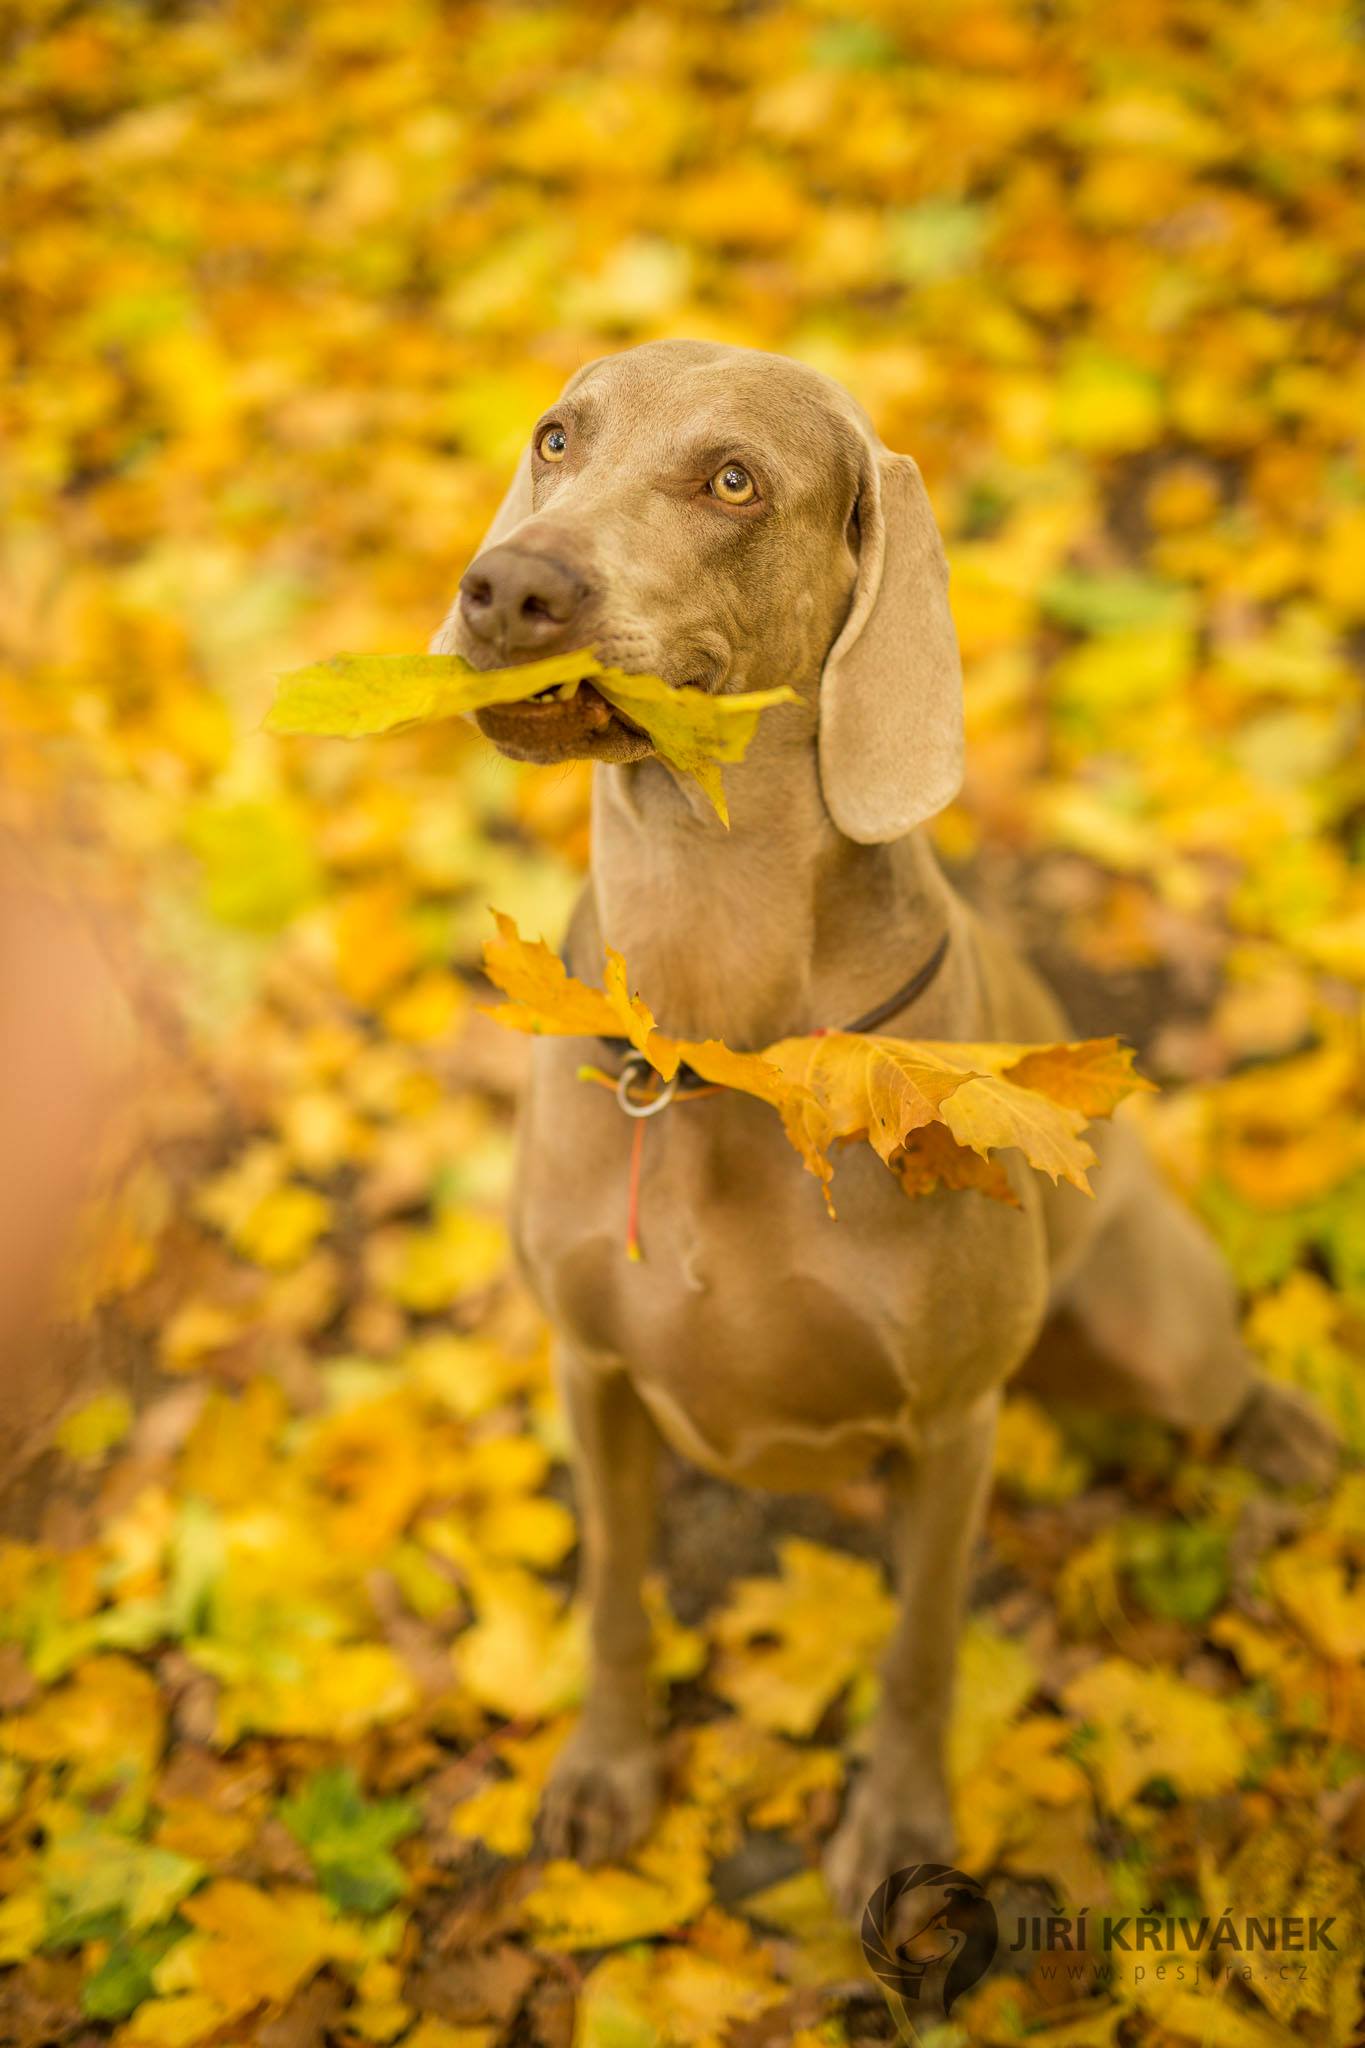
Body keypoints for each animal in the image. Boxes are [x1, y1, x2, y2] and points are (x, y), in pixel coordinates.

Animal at [435, 339, 1334, 1916]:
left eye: (734, 480)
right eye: (556, 438)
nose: (509, 587)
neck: (716, 1039)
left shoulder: (953, 1420)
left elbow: (920, 1648)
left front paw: (904, 1837)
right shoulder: (590, 1368)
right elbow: (613, 1595)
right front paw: (606, 1771)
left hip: (1149, 1318)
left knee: (1215, 1379)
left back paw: (1285, 1432)